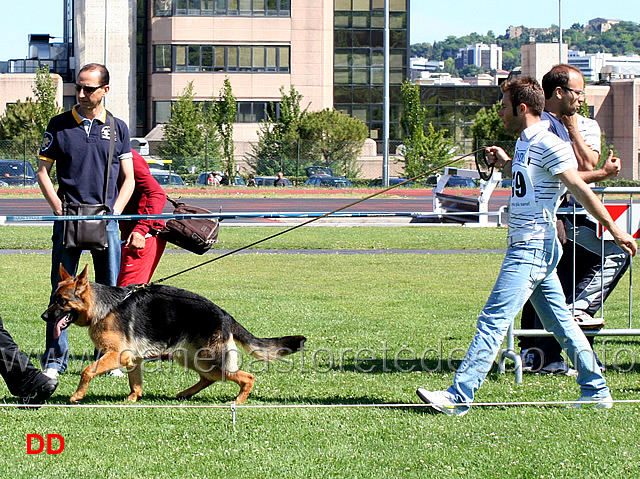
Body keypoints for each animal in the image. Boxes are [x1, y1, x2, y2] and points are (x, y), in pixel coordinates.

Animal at [42, 266, 308, 404]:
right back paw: (185, 393)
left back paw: (238, 401)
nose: (44, 317)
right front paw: (132, 399)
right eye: (53, 298)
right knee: (208, 378)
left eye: (61, 301)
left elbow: (88, 370)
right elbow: (135, 383)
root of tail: (225, 315)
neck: (104, 307)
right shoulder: (132, 359)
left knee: (246, 377)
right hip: (190, 358)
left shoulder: (116, 355)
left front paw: (77, 395)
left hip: (208, 359)